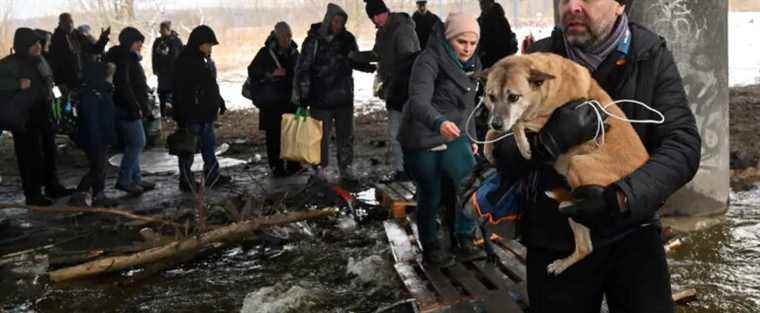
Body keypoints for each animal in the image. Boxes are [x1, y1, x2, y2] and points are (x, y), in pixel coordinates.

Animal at [480, 52, 648, 274]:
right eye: (490, 97)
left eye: (513, 97)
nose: (497, 122)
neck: (548, 87)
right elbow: (497, 130)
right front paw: (489, 146)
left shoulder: (544, 118)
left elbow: (518, 123)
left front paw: (524, 145)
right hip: (579, 211)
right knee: (585, 246)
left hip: (578, 164)